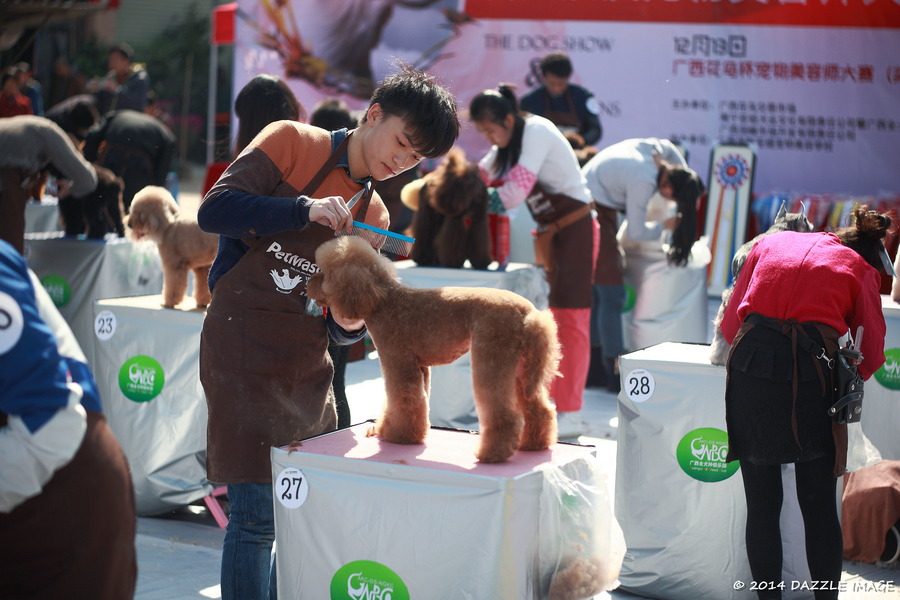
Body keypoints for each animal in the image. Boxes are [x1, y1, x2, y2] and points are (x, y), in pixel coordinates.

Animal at [310, 237, 564, 462]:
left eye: (325, 273)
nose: (309, 283)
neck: (384, 300)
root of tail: (530, 314)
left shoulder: (398, 359)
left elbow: (403, 398)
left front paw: (399, 436)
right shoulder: (420, 366)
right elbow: (415, 400)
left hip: (492, 353)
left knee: (504, 414)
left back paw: (492, 455)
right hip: (519, 365)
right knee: (538, 408)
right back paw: (534, 444)